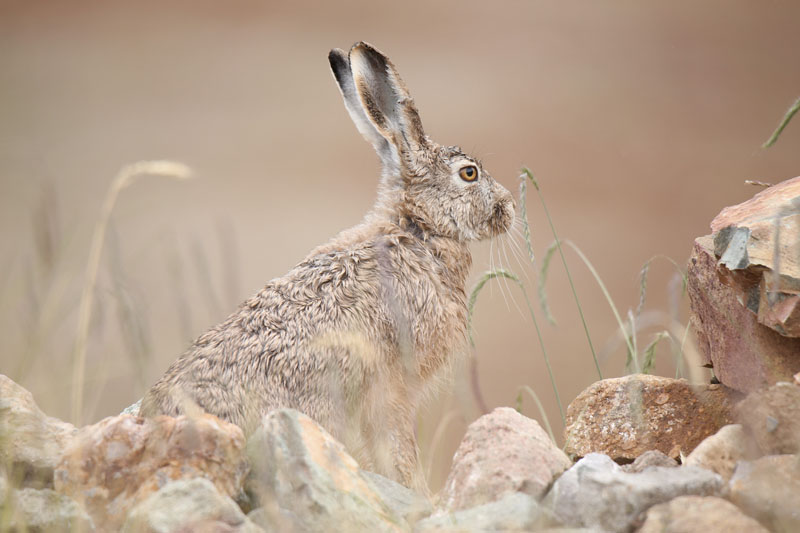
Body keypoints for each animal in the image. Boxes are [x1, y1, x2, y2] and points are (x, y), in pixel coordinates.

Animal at [139, 41, 515, 493]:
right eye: (469, 173)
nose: (510, 207)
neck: (417, 229)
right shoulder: (393, 387)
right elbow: (398, 444)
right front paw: (417, 491)